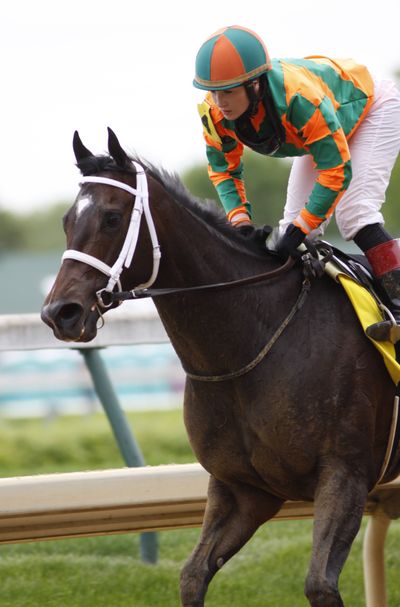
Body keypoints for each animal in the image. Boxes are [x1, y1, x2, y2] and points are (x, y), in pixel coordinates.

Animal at [41, 131, 396, 604]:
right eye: (67, 220)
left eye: (112, 218)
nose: (59, 313)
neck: (252, 343)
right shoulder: (242, 489)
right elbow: (192, 575)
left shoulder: (346, 474)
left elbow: (320, 585)